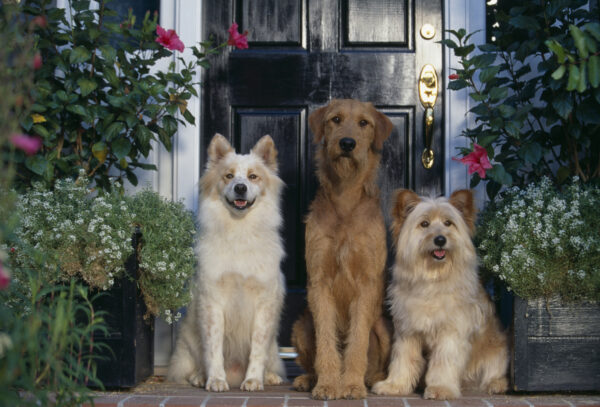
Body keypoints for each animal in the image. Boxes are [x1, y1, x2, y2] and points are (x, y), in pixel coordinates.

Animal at [168, 134, 288, 392]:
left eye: (253, 176)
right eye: (229, 176)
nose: (240, 187)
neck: (239, 231)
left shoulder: (264, 303)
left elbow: (258, 348)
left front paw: (253, 380)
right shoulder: (213, 302)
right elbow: (213, 348)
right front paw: (215, 380)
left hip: (275, 345)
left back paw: (269, 377)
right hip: (189, 341)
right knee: (195, 363)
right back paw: (200, 377)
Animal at [290, 99, 394, 402]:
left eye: (364, 123)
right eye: (335, 119)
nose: (347, 143)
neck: (345, 198)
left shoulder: (366, 284)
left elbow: (356, 341)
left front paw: (352, 385)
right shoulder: (319, 281)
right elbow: (327, 341)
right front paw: (327, 384)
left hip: (384, 326)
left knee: (379, 362)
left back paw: (371, 379)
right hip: (301, 326)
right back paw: (308, 379)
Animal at [372, 191, 508, 402]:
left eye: (448, 223)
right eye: (424, 224)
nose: (440, 240)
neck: (433, 278)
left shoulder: (451, 332)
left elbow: (444, 361)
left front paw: (441, 388)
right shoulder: (407, 332)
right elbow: (402, 359)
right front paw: (395, 385)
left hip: (497, 349)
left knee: (496, 372)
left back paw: (496, 384)